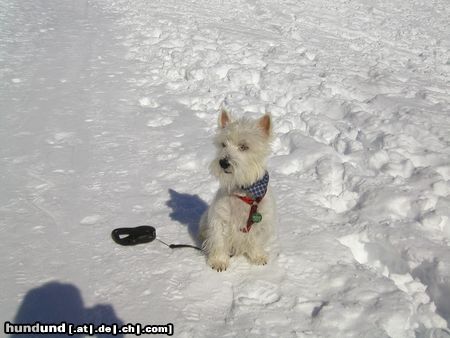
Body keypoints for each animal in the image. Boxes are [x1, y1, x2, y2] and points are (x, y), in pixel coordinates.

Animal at [200, 109, 274, 270]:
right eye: (223, 144)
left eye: (244, 146)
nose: (223, 162)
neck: (243, 190)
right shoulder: (220, 218)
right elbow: (219, 240)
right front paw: (219, 262)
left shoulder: (261, 221)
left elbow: (256, 240)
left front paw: (258, 257)